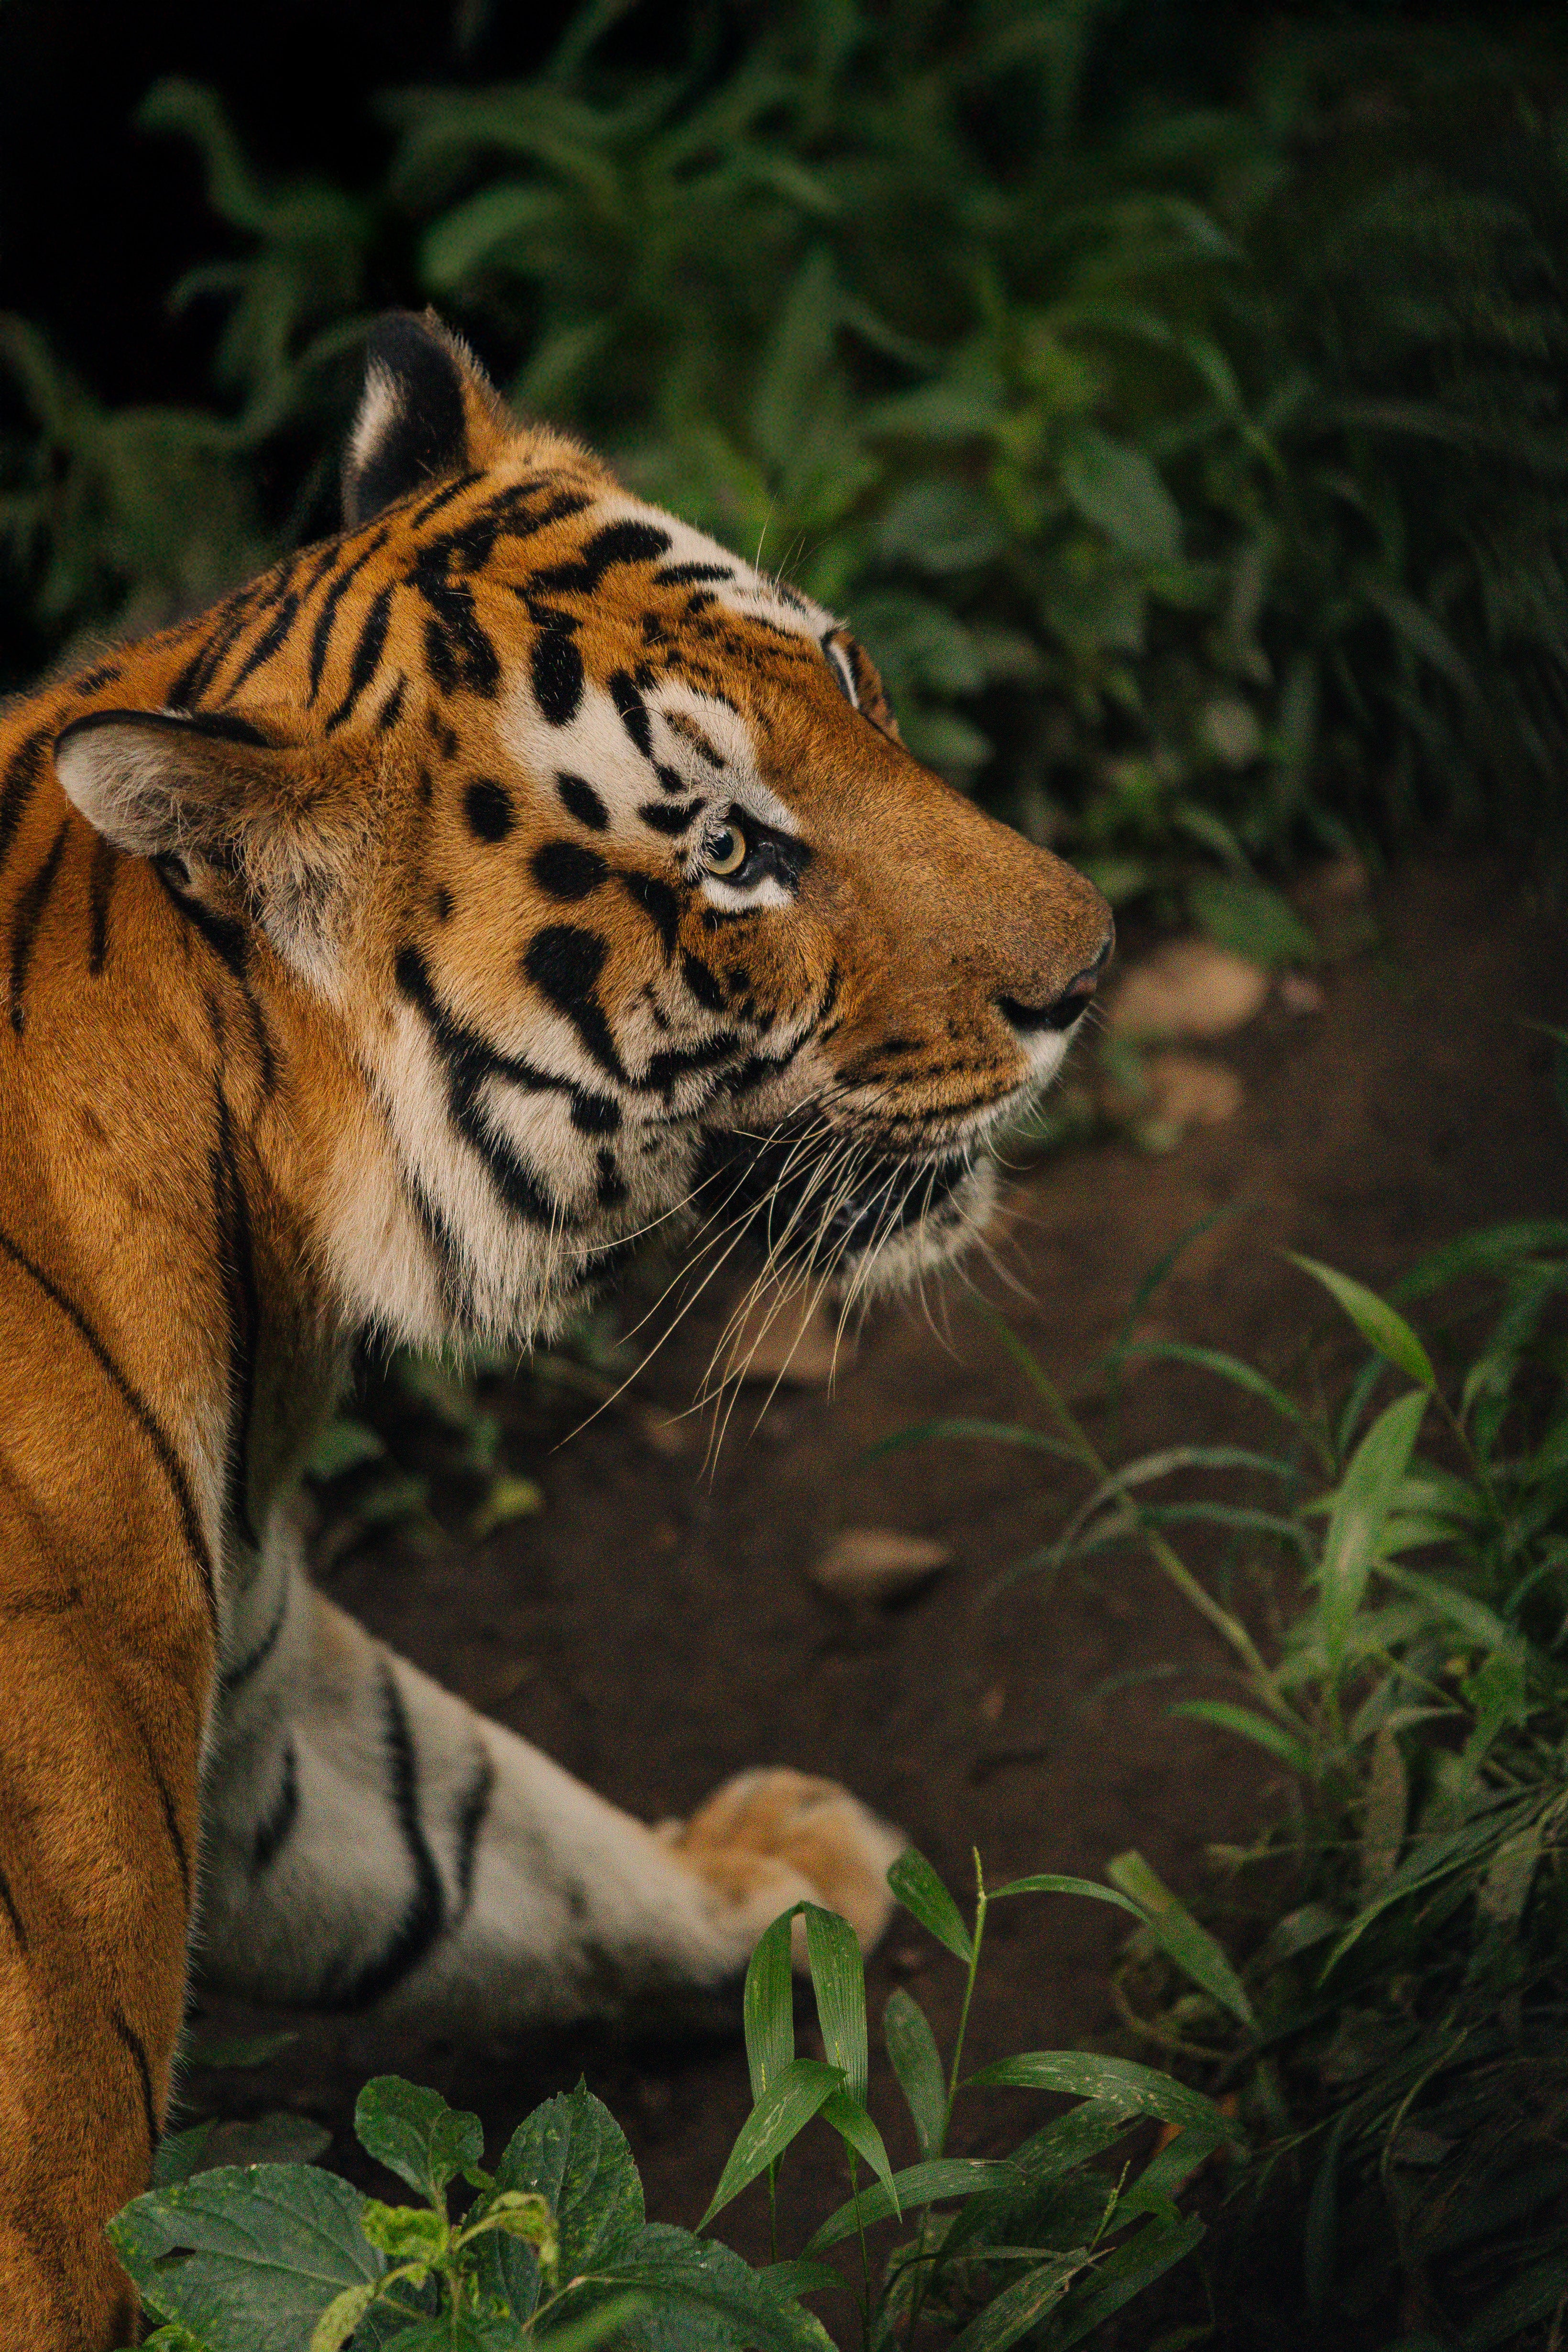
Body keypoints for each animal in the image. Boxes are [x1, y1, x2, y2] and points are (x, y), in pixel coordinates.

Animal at [0, 309, 1112, 2346]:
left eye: (853, 672)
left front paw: (775, 1880)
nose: (1087, 970)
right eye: (732, 848)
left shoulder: (250, 1688)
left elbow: (482, 1837)